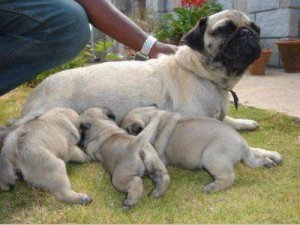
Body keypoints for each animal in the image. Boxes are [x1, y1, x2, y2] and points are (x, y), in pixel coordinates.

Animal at [120, 106, 284, 192]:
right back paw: (269, 161)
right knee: (255, 156)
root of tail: (241, 145)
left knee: (229, 177)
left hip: (210, 157)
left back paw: (212, 187)